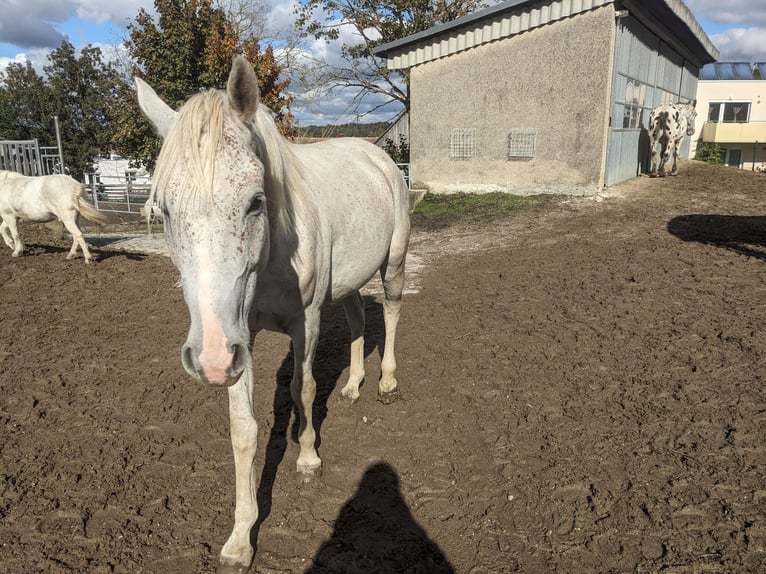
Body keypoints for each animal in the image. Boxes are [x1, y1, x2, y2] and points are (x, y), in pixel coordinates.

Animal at [136, 56, 414, 572]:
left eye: (255, 201)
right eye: (163, 210)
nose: (208, 358)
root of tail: (375, 155)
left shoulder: (306, 321)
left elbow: (303, 389)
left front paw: (307, 460)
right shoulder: (238, 338)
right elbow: (244, 430)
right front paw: (240, 538)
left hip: (394, 261)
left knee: (390, 310)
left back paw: (386, 382)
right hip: (346, 283)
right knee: (357, 322)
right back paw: (353, 386)